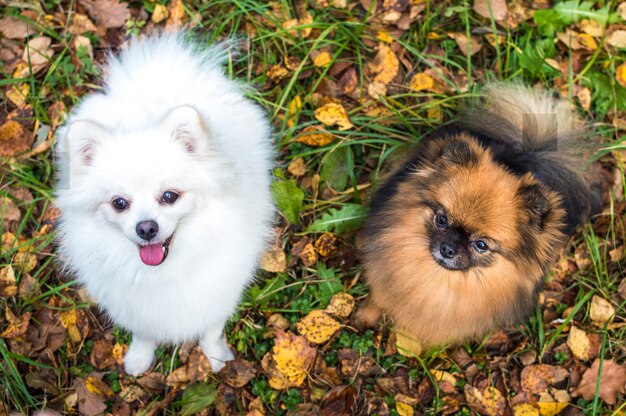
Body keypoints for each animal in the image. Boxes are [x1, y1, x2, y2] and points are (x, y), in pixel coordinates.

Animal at [54, 32, 274, 376]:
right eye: (119, 203)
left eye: (169, 196)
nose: (146, 227)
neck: (166, 271)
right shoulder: (137, 308)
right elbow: (144, 334)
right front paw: (139, 358)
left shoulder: (218, 294)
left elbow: (211, 329)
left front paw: (215, 356)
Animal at [356, 83, 596, 348]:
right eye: (441, 219)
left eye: (481, 245)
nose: (448, 249)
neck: (439, 280)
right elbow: (378, 298)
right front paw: (365, 317)